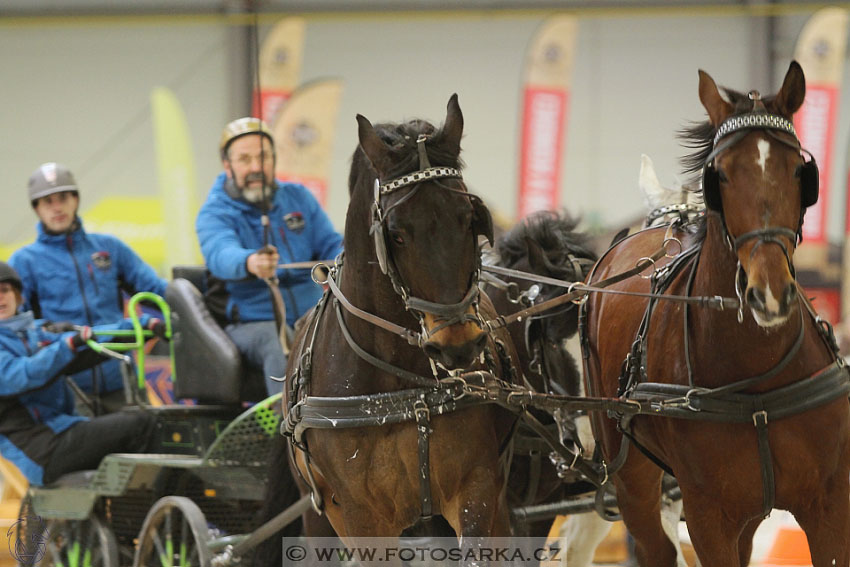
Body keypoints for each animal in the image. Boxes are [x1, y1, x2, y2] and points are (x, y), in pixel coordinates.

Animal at [282, 95, 512, 548]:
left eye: (468, 217)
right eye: (397, 234)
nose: (458, 343)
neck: (401, 387)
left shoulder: (476, 489)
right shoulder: (360, 516)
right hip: (318, 514)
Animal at [584, 60, 848, 564]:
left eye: (799, 171)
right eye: (720, 175)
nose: (769, 294)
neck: (758, 378)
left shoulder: (827, 506)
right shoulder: (709, 517)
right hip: (632, 478)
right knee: (655, 546)